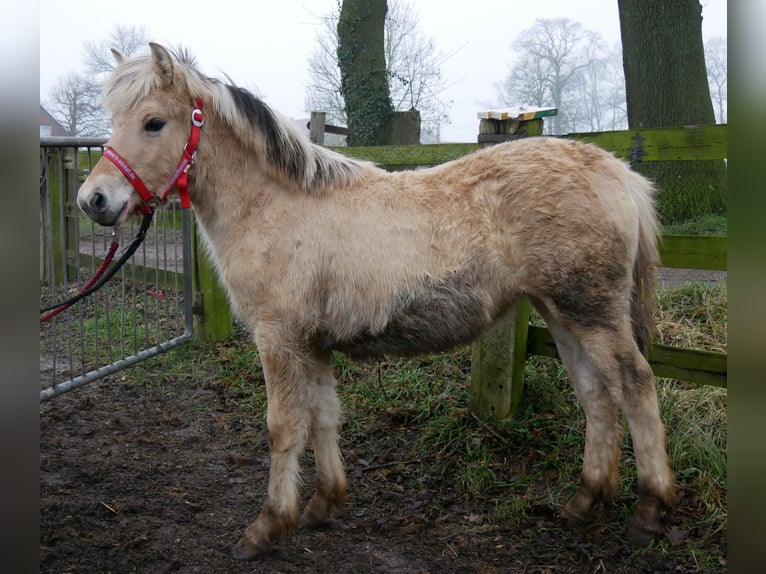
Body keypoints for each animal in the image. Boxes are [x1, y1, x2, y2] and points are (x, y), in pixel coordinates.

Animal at [76, 44, 680, 564]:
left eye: (154, 122)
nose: (93, 200)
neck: (274, 204)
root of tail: (618, 172)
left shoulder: (278, 338)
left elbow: (283, 427)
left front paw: (267, 527)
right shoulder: (312, 342)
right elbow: (324, 416)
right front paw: (323, 504)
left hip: (590, 313)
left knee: (634, 387)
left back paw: (651, 510)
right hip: (561, 314)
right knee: (596, 396)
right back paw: (584, 502)